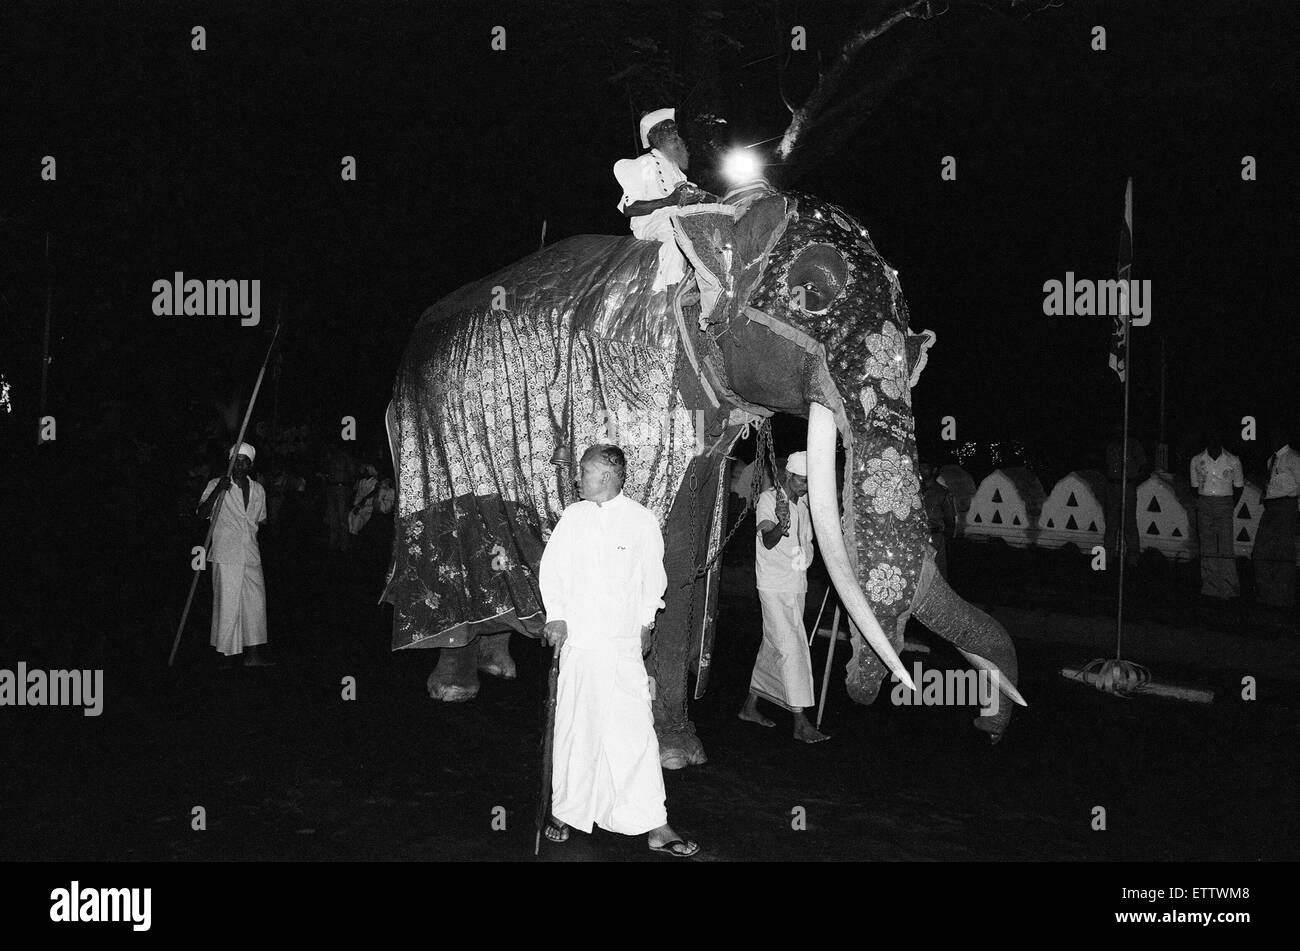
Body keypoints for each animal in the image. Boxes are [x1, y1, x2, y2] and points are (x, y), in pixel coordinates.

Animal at [384, 184, 1024, 763]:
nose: (986, 729)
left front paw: (676, 747)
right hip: (435, 439)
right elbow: (657, 552)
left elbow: (681, 563)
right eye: (813, 293)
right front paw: (666, 748)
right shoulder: (640, 407)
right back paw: (453, 685)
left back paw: (502, 663)